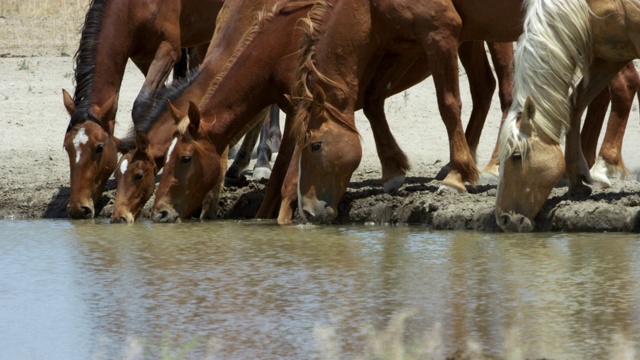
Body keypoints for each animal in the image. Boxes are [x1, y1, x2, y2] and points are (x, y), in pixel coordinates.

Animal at [62, 0, 222, 219]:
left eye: (99, 147)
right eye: (67, 147)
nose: (78, 209)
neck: (133, 7)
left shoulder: (168, 50)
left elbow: (142, 104)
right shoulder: (143, 57)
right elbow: (163, 97)